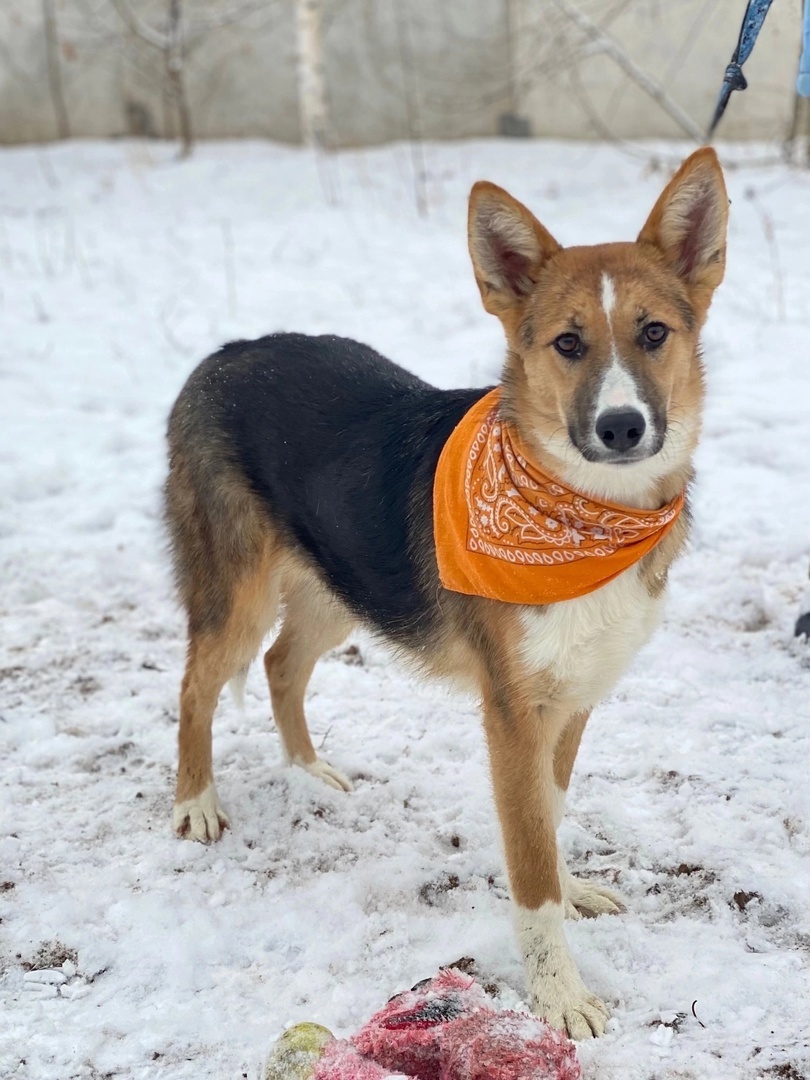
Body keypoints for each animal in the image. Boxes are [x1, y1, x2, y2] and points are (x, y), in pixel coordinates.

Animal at [163, 150, 730, 1036]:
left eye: (653, 334)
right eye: (568, 343)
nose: (622, 427)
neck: (589, 517)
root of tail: (230, 349)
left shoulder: (573, 698)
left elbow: (548, 818)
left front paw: (571, 892)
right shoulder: (512, 714)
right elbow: (529, 859)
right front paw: (557, 995)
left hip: (339, 584)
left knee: (283, 666)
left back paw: (309, 772)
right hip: (240, 592)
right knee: (196, 685)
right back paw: (196, 802)